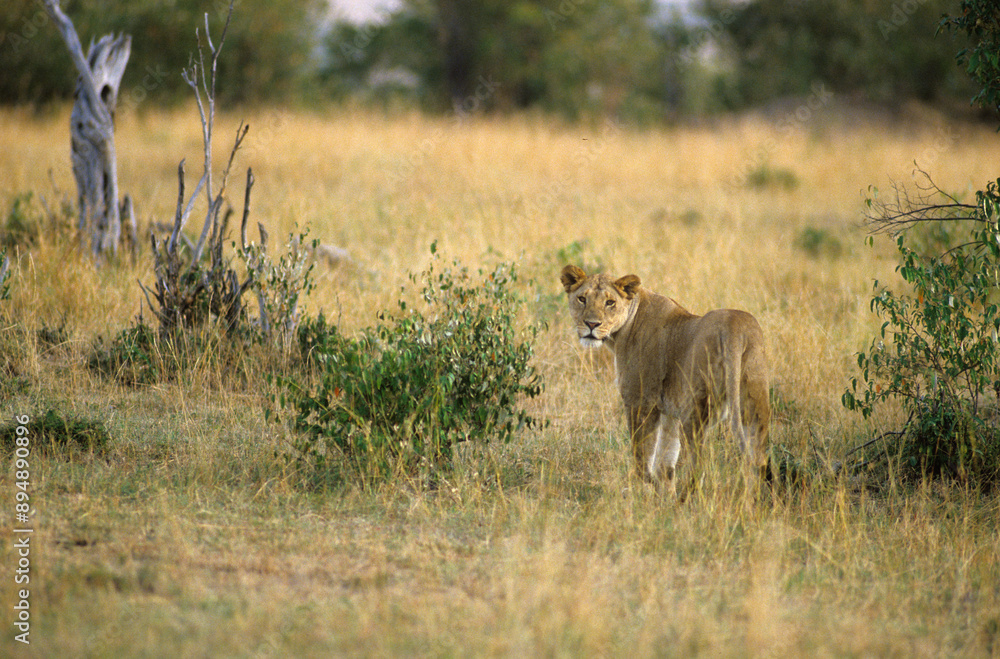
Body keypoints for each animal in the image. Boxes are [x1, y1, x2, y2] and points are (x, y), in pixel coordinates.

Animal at [560, 265, 770, 496]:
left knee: (699, 464)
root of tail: (734, 328)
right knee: (759, 460)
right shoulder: (670, 412)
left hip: (695, 409)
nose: (591, 324)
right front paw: (664, 493)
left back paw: (684, 500)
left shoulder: (640, 402)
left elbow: (642, 458)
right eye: (582, 299)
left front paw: (652, 488)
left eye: (610, 302)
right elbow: (665, 462)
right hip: (755, 404)